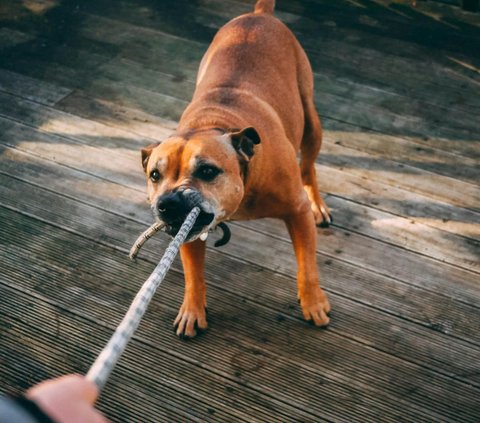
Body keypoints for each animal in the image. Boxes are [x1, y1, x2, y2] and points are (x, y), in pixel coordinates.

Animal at [141, 0, 332, 338]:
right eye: (154, 175)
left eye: (207, 171)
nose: (168, 203)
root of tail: (258, 15)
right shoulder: (190, 233)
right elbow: (194, 274)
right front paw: (192, 310)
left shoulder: (297, 212)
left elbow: (307, 265)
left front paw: (313, 303)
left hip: (311, 122)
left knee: (308, 165)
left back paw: (318, 205)